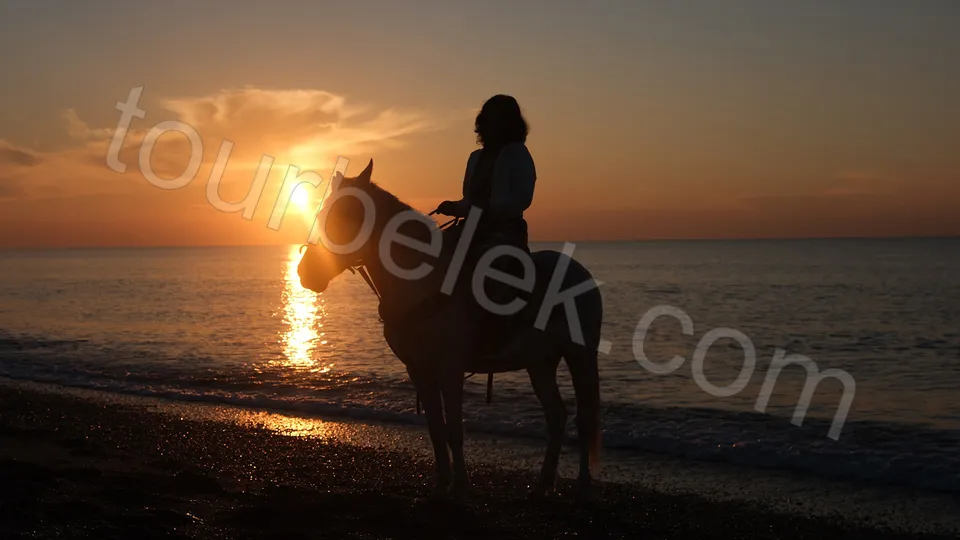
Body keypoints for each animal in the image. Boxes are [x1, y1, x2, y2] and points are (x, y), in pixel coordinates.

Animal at [297, 160, 603, 504]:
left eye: (347, 214)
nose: (307, 272)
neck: (420, 283)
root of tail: (582, 274)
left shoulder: (450, 368)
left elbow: (455, 430)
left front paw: (460, 487)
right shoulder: (419, 370)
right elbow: (436, 428)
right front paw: (442, 483)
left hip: (580, 356)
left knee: (585, 419)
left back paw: (582, 486)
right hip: (540, 362)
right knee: (557, 416)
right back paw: (542, 484)